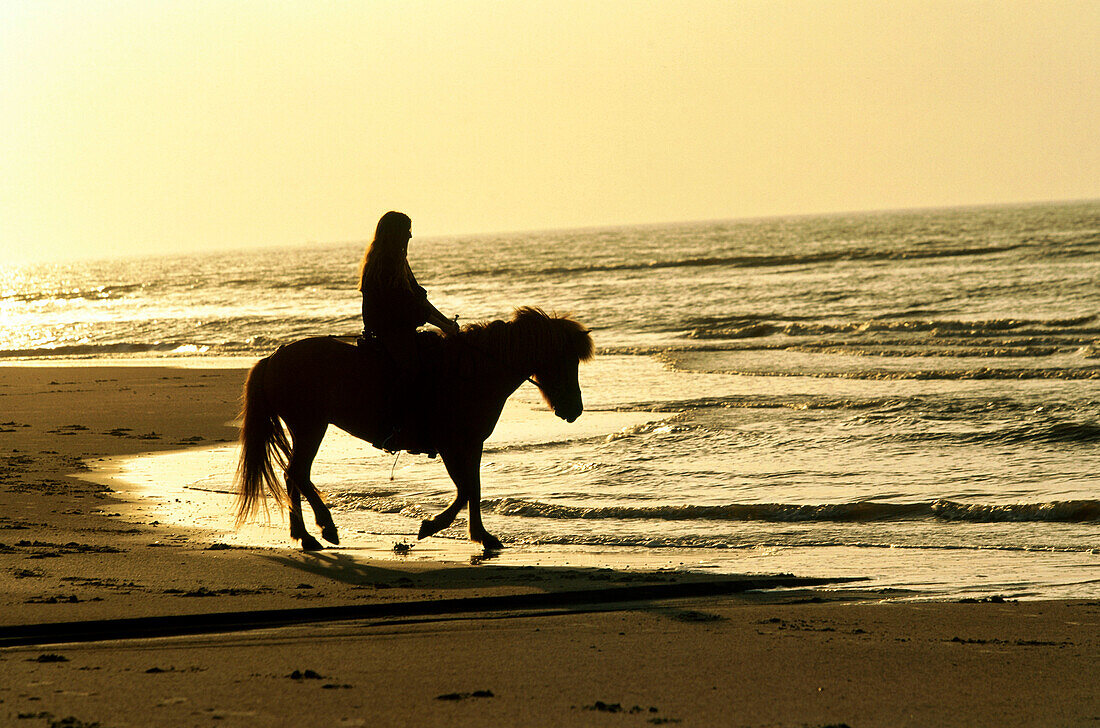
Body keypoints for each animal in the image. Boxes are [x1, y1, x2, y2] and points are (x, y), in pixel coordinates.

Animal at [234, 307, 594, 554]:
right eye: (565, 360)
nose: (574, 410)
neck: (472, 373)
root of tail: (273, 358)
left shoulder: (471, 444)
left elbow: (474, 489)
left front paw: (483, 536)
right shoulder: (452, 445)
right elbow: (465, 490)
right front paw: (432, 526)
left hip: (305, 428)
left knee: (293, 476)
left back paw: (305, 536)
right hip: (311, 426)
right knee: (297, 473)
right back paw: (324, 529)